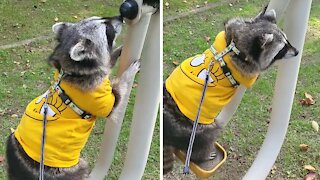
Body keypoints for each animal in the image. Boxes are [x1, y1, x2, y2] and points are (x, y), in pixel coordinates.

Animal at [5, 16, 139, 179]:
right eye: (107, 28)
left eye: (103, 19)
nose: (120, 17)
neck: (70, 69)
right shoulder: (96, 98)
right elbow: (115, 101)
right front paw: (127, 74)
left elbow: (107, 62)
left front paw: (116, 52)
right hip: (66, 170)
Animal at [164, 7, 298, 174]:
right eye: (283, 49)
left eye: (287, 42)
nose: (297, 51)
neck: (236, 42)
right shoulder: (245, 69)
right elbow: (254, 76)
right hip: (196, 130)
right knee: (205, 139)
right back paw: (201, 156)